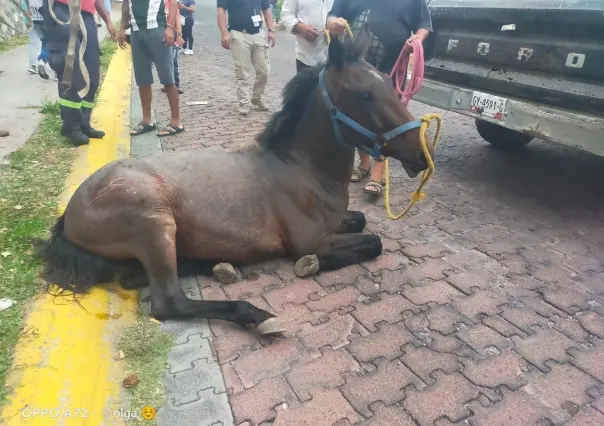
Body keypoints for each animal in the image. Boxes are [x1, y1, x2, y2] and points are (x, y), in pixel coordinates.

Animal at [37, 30, 432, 336]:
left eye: (391, 84)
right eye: (364, 94)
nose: (420, 157)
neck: (299, 167)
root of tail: (69, 213)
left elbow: (363, 221)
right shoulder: (310, 241)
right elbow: (372, 242)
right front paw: (309, 266)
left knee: (136, 278)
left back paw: (219, 265)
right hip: (153, 223)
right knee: (168, 301)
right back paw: (258, 316)